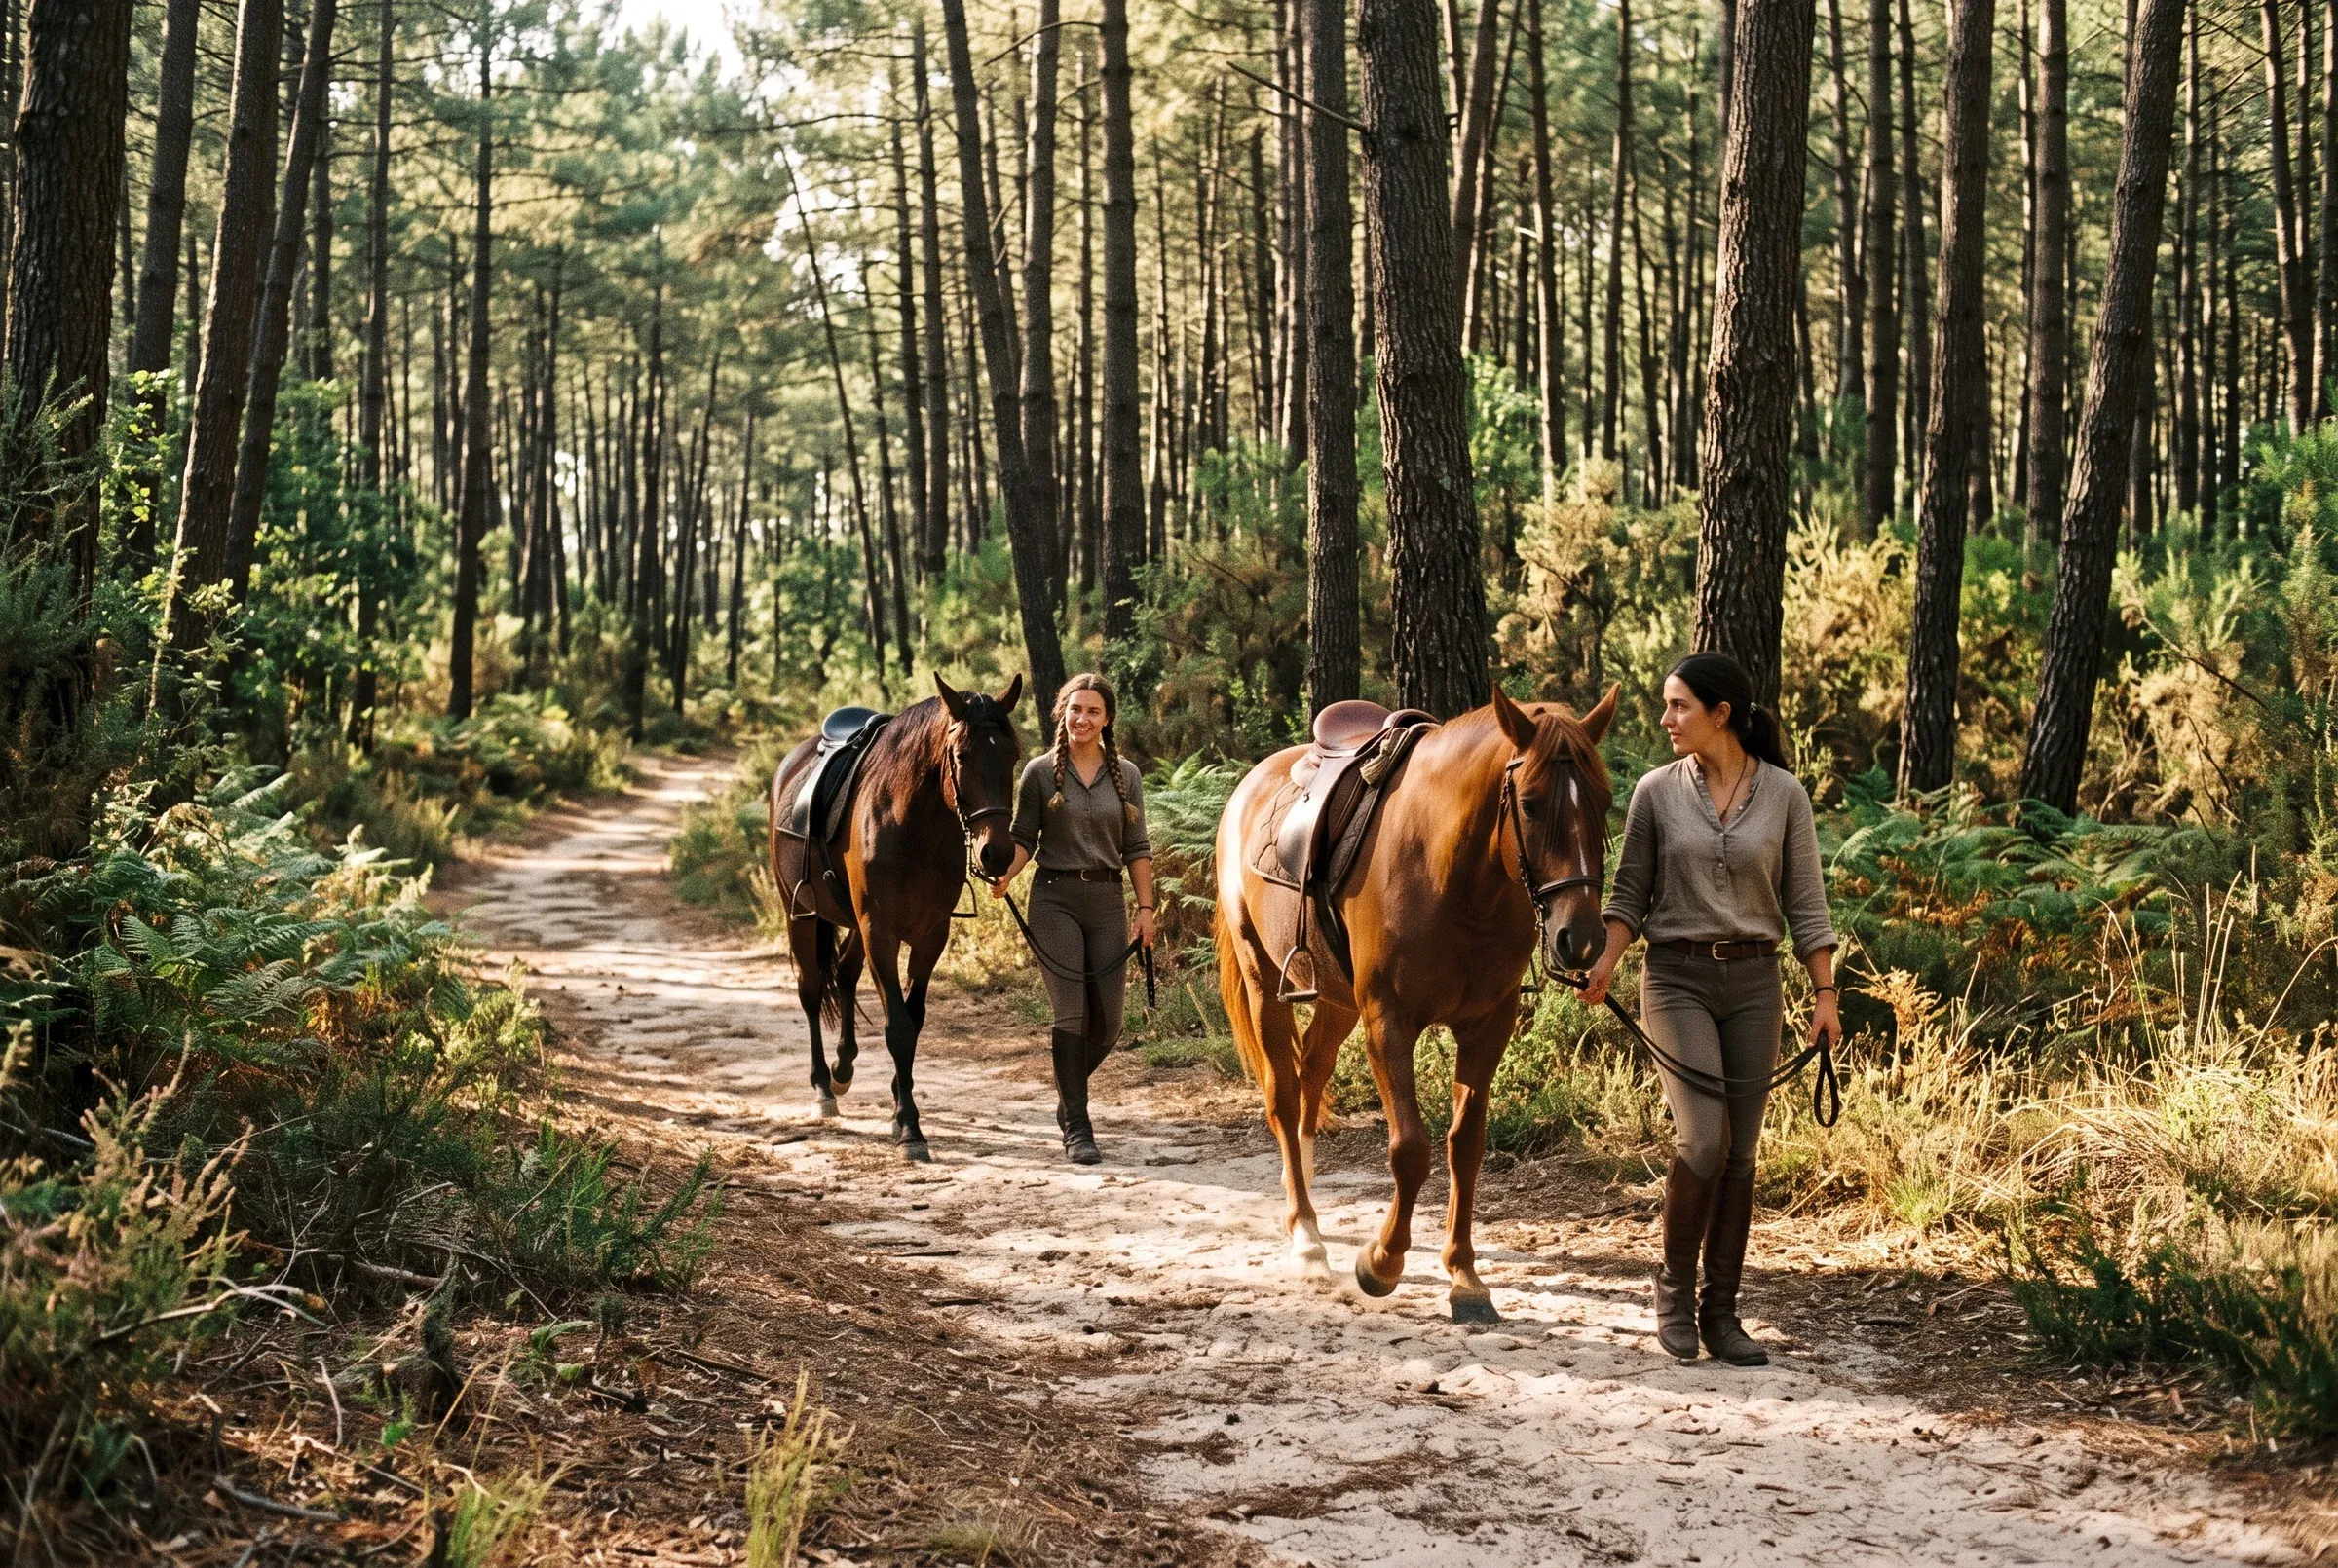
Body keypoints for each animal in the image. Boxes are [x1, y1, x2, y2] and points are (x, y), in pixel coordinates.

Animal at [768, 674, 1023, 1161]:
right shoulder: (881, 933)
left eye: (1014, 755)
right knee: (811, 990)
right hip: (802, 915)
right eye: (961, 756)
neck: (913, 825)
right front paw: (909, 1128)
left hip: (851, 921)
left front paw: (898, 1100)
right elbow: (899, 1027)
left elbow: (914, 1017)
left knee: (845, 973)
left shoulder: (930, 935)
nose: (996, 853)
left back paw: (843, 1067)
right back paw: (822, 1087)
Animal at [1213, 685, 1616, 1321]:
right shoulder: (1389, 1023)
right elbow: (1409, 1148)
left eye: (1602, 801)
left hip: (1337, 1002)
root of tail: (1249, 785)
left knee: (1310, 1080)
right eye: (1529, 805)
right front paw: (1382, 1262)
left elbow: (1464, 1146)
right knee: (1282, 1095)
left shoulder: (1486, 1027)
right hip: (1264, 983)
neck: (1454, 876)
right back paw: (1305, 1234)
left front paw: (1465, 1275)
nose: (1582, 939)